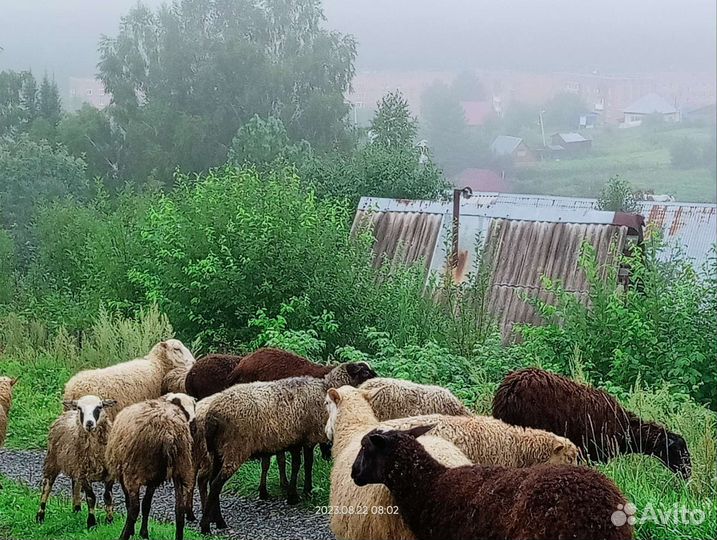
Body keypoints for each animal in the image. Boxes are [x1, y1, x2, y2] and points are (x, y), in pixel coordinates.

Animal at [36, 395, 118, 528]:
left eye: (99, 407)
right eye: (80, 408)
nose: (89, 424)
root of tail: (68, 412)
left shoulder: (109, 473)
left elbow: (108, 497)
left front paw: (110, 521)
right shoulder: (84, 473)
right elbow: (91, 497)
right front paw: (91, 523)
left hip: (75, 464)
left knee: (75, 485)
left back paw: (77, 509)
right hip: (52, 460)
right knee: (47, 486)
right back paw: (40, 516)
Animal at [105, 393, 196, 540]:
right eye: (185, 410)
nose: (194, 426)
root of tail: (169, 432)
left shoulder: (123, 474)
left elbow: (130, 504)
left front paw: (133, 531)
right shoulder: (154, 479)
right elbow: (147, 504)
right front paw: (144, 533)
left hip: (133, 470)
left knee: (134, 508)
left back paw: (123, 536)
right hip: (180, 466)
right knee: (179, 509)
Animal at [198, 361, 376, 534]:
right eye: (365, 372)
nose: (377, 380)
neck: (323, 390)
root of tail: (212, 415)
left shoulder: (295, 440)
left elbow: (296, 465)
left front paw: (293, 494)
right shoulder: (308, 438)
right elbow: (307, 465)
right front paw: (306, 491)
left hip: (218, 452)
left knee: (212, 482)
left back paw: (215, 520)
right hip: (235, 449)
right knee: (216, 484)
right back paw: (208, 526)